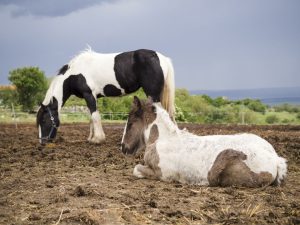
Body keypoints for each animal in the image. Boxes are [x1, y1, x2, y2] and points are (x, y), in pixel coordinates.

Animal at [36, 48, 175, 145]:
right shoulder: (92, 97)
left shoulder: (89, 95)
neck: (75, 73)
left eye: (43, 120)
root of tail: (162, 58)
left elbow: (95, 116)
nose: (42, 142)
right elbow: (91, 118)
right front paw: (91, 138)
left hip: (153, 94)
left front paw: (98, 139)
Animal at [120, 97, 288, 187]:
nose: (123, 147)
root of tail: (275, 158)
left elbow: (136, 169)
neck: (164, 139)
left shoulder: (162, 174)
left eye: (130, 123)